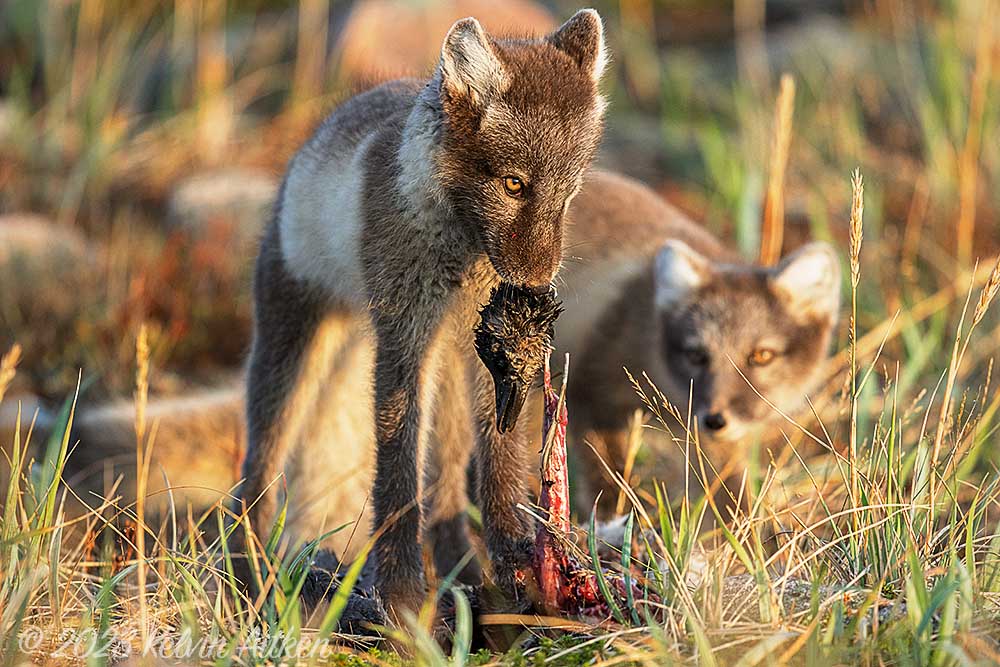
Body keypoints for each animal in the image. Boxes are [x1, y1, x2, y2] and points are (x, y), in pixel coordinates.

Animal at [231, 10, 608, 616]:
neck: (455, 244)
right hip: (291, 349)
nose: (534, 284)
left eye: (568, 195)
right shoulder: (401, 332)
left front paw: (515, 559)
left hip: (449, 365)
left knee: (448, 487)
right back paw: (248, 574)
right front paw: (403, 593)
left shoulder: (487, 353)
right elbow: (396, 467)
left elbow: (499, 458)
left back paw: (466, 572)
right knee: (255, 476)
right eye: (514, 183)